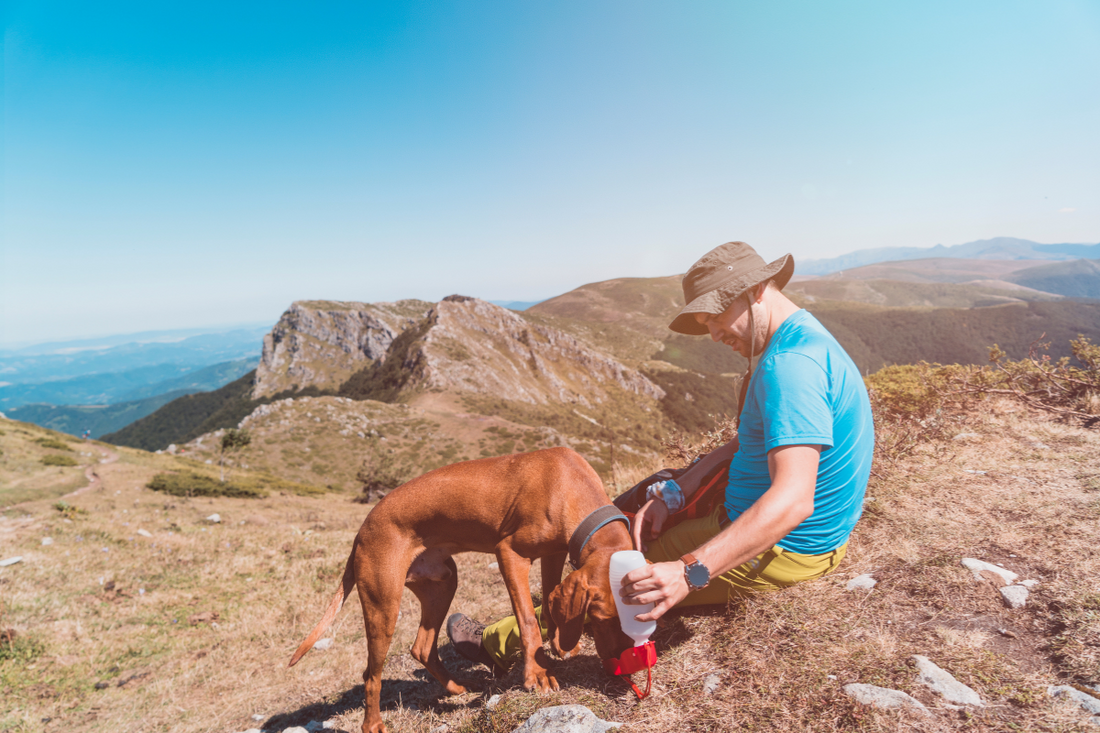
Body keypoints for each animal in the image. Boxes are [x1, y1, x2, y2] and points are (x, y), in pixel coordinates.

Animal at [290, 444, 638, 730]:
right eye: (601, 618)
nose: (624, 665)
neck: (569, 484)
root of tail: (361, 531)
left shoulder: (554, 553)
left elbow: (550, 610)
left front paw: (561, 646)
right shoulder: (509, 553)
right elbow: (528, 619)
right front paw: (537, 673)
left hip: (443, 583)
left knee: (422, 647)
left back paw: (457, 689)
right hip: (383, 604)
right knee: (371, 675)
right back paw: (374, 724)